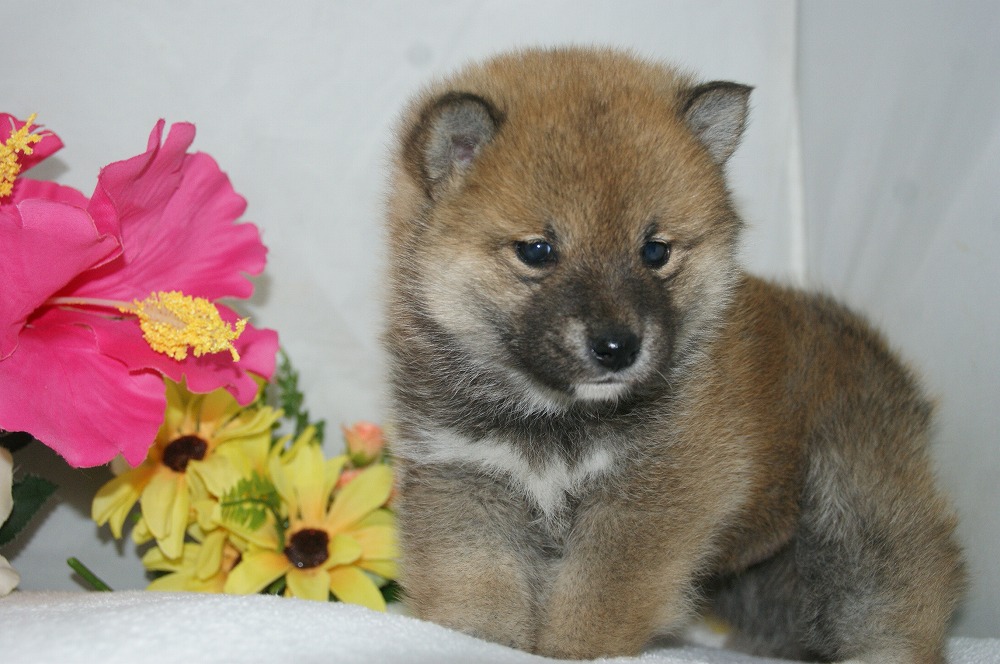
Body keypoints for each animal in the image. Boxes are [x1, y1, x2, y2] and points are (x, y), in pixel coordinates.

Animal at [378, 48, 964, 664]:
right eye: (537, 251)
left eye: (655, 251)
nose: (617, 347)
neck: (553, 419)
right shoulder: (466, 482)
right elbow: (477, 592)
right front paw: (476, 643)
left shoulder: (644, 505)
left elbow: (592, 605)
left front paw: (569, 649)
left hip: (860, 513)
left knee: (902, 596)